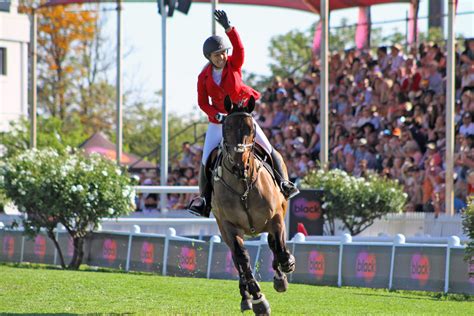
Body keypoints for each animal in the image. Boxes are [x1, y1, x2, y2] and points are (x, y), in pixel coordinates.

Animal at [212, 95, 296, 314]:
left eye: (252, 129)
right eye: (226, 127)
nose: (240, 164)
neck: (243, 184)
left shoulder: (276, 218)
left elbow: (280, 248)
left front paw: (286, 268)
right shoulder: (229, 226)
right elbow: (243, 259)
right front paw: (258, 300)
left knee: (273, 245)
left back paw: (280, 277)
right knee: (237, 259)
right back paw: (246, 298)